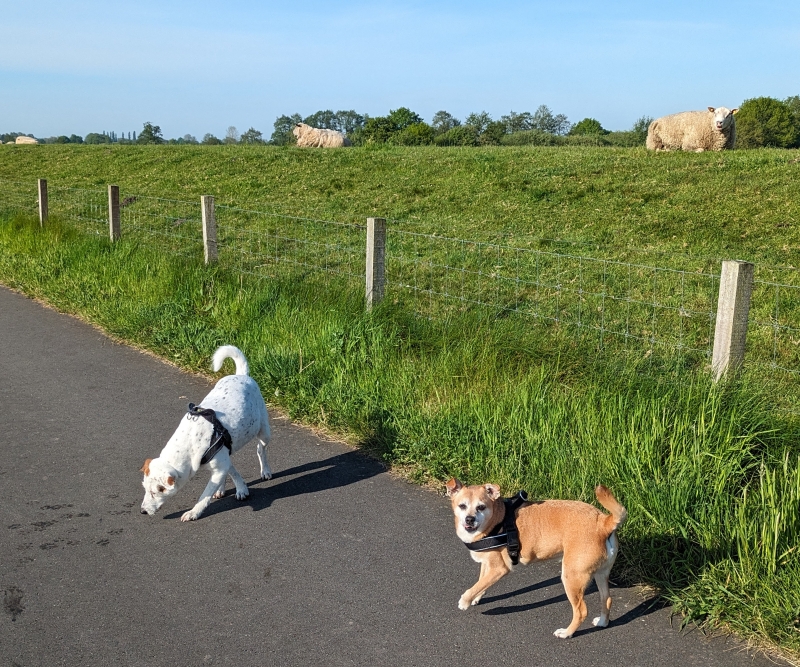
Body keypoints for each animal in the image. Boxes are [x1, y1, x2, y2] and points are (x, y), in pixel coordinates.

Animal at [140, 345, 272, 522]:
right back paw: (221, 489)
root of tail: (241, 375)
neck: (188, 444)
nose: (143, 511)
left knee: (260, 449)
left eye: (156, 492)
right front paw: (240, 488)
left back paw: (265, 471)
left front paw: (194, 512)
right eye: (145, 489)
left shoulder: (220, 465)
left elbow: (204, 496)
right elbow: (232, 471)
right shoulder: (222, 460)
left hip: (264, 432)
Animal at [445, 478, 626, 638]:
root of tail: (603, 523)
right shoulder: (487, 563)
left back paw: (567, 633)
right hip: (601, 574)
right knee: (607, 599)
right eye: (462, 506)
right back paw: (602, 622)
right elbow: (481, 582)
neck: (497, 520)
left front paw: (465, 600)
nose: (469, 519)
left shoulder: (499, 569)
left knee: (581, 611)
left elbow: (477, 585)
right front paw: (476, 597)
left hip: (571, 577)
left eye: (481, 507)